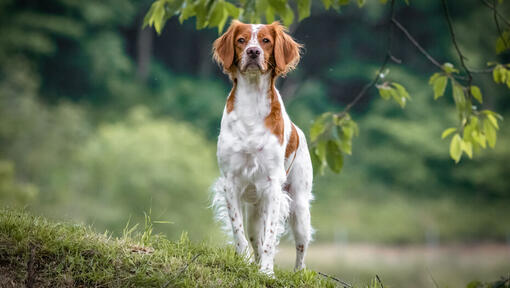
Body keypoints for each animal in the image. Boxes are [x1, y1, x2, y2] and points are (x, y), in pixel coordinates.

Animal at [211, 20, 314, 274]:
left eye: (266, 40)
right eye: (241, 40)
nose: (253, 52)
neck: (252, 102)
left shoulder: (273, 185)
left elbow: (270, 237)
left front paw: (267, 272)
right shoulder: (231, 182)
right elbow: (239, 232)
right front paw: (245, 262)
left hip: (299, 208)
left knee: (301, 248)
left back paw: (297, 273)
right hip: (255, 211)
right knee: (253, 236)